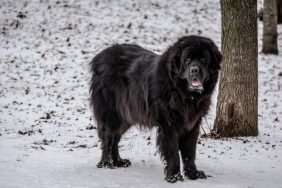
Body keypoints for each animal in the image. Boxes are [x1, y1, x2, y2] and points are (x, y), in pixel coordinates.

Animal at [89, 35, 221, 182]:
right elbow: (173, 152)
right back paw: (106, 163)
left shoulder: (192, 124)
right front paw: (174, 177)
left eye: (203, 60)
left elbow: (190, 152)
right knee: (108, 137)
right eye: (187, 60)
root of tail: (99, 57)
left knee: (116, 138)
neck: (184, 95)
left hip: (127, 115)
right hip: (112, 114)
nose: (194, 70)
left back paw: (118, 161)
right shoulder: (168, 124)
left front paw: (193, 174)